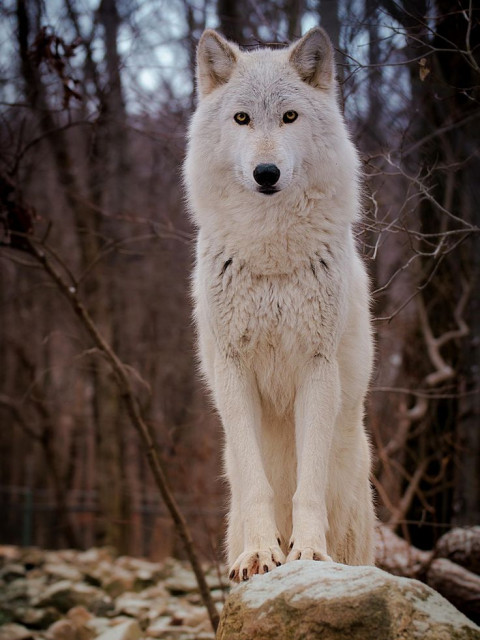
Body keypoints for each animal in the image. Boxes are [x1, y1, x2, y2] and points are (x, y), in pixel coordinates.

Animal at [184, 27, 376, 584]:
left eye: (289, 117)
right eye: (242, 118)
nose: (265, 172)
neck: (270, 255)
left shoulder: (317, 367)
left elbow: (307, 486)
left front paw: (307, 552)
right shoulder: (233, 370)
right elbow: (258, 486)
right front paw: (260, 554)